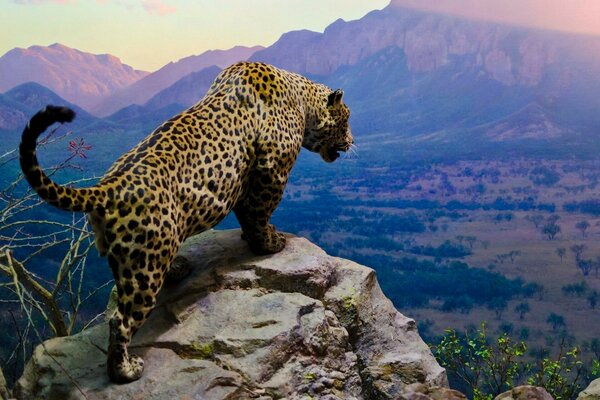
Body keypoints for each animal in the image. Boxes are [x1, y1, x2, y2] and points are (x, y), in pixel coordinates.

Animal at [18, 61, 354, 382]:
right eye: (347, 119)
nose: (352, 141)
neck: (302, 99)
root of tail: (107, 188)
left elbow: (247, 214)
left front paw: (252, 238)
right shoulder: (271, 170)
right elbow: (259, 212)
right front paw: (269, 243)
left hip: (131, 256)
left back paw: (178, 268)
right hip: (145, 266)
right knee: (121, 321)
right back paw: (124, 370)